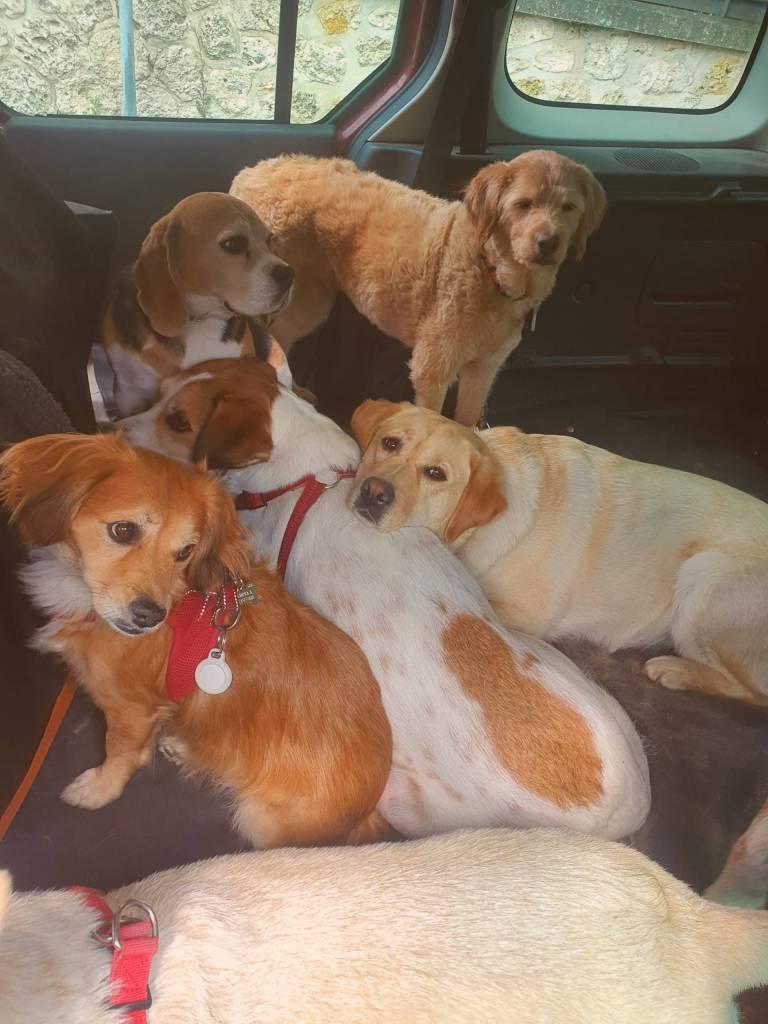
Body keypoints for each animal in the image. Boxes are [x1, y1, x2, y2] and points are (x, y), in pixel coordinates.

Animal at [0, 433, 392, 848]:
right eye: (123, 530)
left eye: (186, 552)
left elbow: (119, 751)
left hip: (258, 818)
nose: (149, 616)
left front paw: (98, 789)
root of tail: (368, 811)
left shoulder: (130, 709)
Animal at [120, 354, 650, 841]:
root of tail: (625, 813)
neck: (311, 477)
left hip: (404, 802)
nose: (113, 429)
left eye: (178, 421)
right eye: (160, 392)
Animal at [230, 151, 605, 426]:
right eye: (523, 204)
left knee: (282, 337)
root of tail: (250, 173)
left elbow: (466, 423)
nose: (548, 243)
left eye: (568, 208)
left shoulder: (483, 371)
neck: (491, 269)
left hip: (309, 299)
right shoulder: (432, 369)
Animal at [348, 401, 768, 708]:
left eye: (436, 474)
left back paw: (676, 670)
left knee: (755, 692)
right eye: (390, 443)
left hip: (706, 574)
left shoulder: (523, 614)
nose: (373, 492)